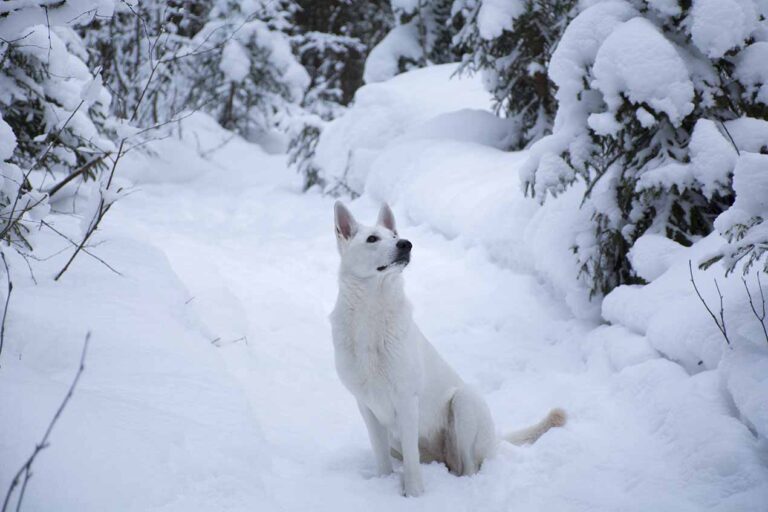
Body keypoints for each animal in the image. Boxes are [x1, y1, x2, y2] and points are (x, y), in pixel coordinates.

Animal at [328, 203, 568, 496]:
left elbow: (412, 465)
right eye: (372, 239)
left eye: (394, 235)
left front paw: (414, 495)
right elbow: (381, 458)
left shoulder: (407, 401)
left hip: (464, 402)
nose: (406, 244)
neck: (371, 314)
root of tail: (495, 439)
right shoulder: (366, 406)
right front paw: (385, 484)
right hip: (402, 439)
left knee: (468, 468)